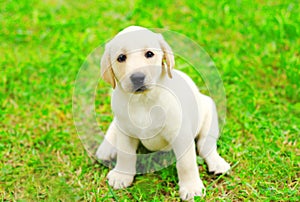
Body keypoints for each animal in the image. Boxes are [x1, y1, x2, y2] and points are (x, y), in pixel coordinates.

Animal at [96, 25, 230, 200]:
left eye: (149, 54)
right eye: (121, 58)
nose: (137, 78)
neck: (143, 100)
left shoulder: (181, 135)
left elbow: (186, 163)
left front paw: (191, 187)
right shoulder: (125, 132)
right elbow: (125, 153)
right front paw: (122, 175)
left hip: (208, 112)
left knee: (205, 146)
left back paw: (217, 162)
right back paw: (106, 148)